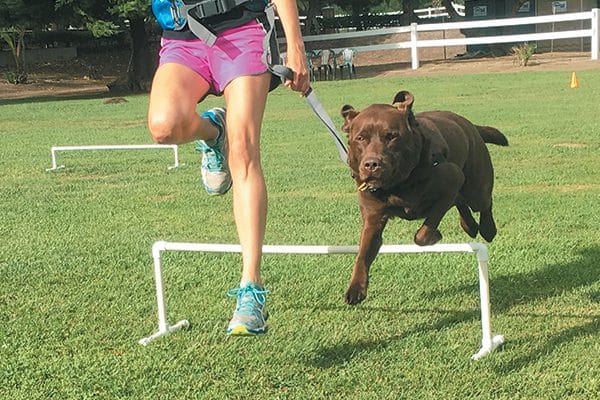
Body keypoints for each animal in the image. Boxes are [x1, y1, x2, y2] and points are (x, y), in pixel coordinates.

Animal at [342, 90, 506, 304]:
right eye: (361, 138)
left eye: (391, 136)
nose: (371, 164)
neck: (399, 185)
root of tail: (469, 124)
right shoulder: (373, 215)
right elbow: (364, 251)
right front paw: (356, 288)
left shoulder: (452, 180)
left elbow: (423, 232)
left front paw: (435, 235)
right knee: (461, 202)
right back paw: (469, 226)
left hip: (475, 183)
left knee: (483, 203)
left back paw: (487, 229)